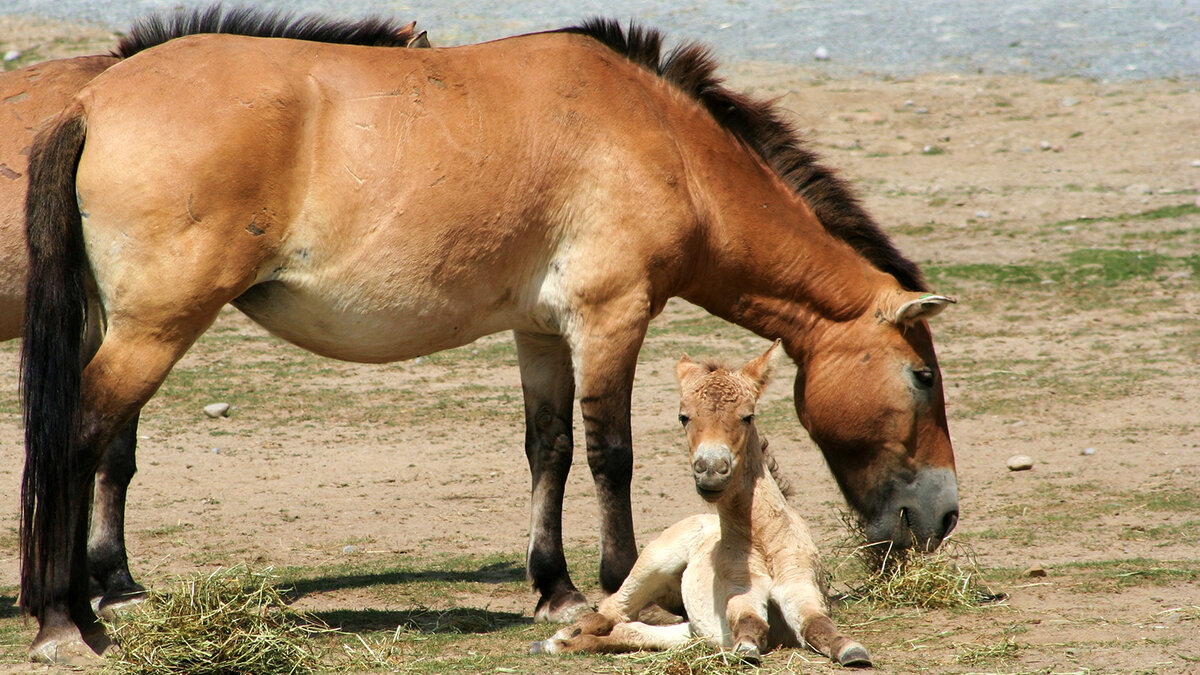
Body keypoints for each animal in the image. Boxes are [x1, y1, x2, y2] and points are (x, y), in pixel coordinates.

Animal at [535, 338, 873, 662]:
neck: (766, 543)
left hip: (691, 627)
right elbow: (751, 622)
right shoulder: (741, 592)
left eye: (748, 416)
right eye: (684, 417)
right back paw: (559, 637)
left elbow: (818, 625)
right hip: (652, 564)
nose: (710, 470)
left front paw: (851, 650)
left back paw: (562, 642)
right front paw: (746, 650)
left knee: (632, 629)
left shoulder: (801, 589)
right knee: (610, 610)